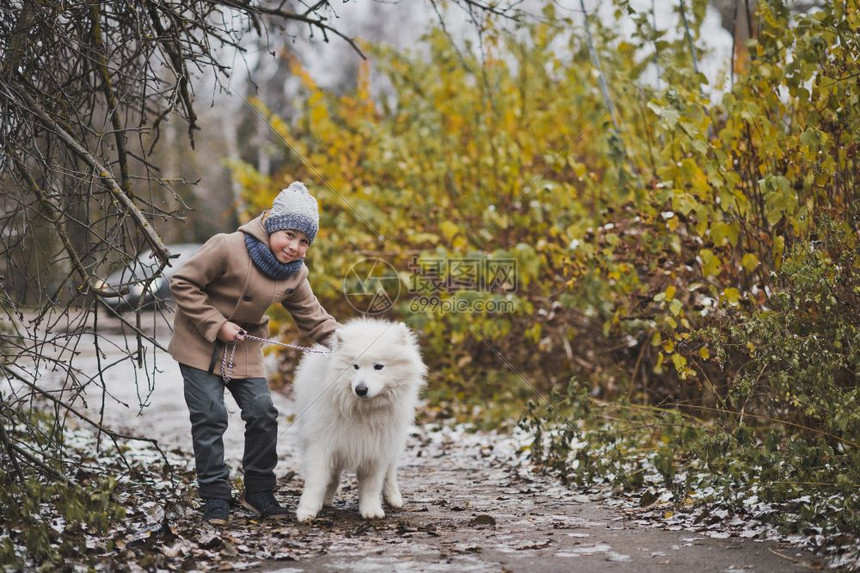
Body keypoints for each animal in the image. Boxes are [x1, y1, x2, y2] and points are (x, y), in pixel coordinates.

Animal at [292, 316, 426, 520]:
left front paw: (371, 510)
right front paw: (307, 510)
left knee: (390, 472)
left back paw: (393, 497)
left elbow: (372, 484)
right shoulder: (322, 442)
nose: (360, 389)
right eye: (354, 366)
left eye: (378, 366)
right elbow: (316, 479)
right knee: (333, 475)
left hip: (393, 442)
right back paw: (326, 498)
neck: (363, 410)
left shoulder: (376, 447)